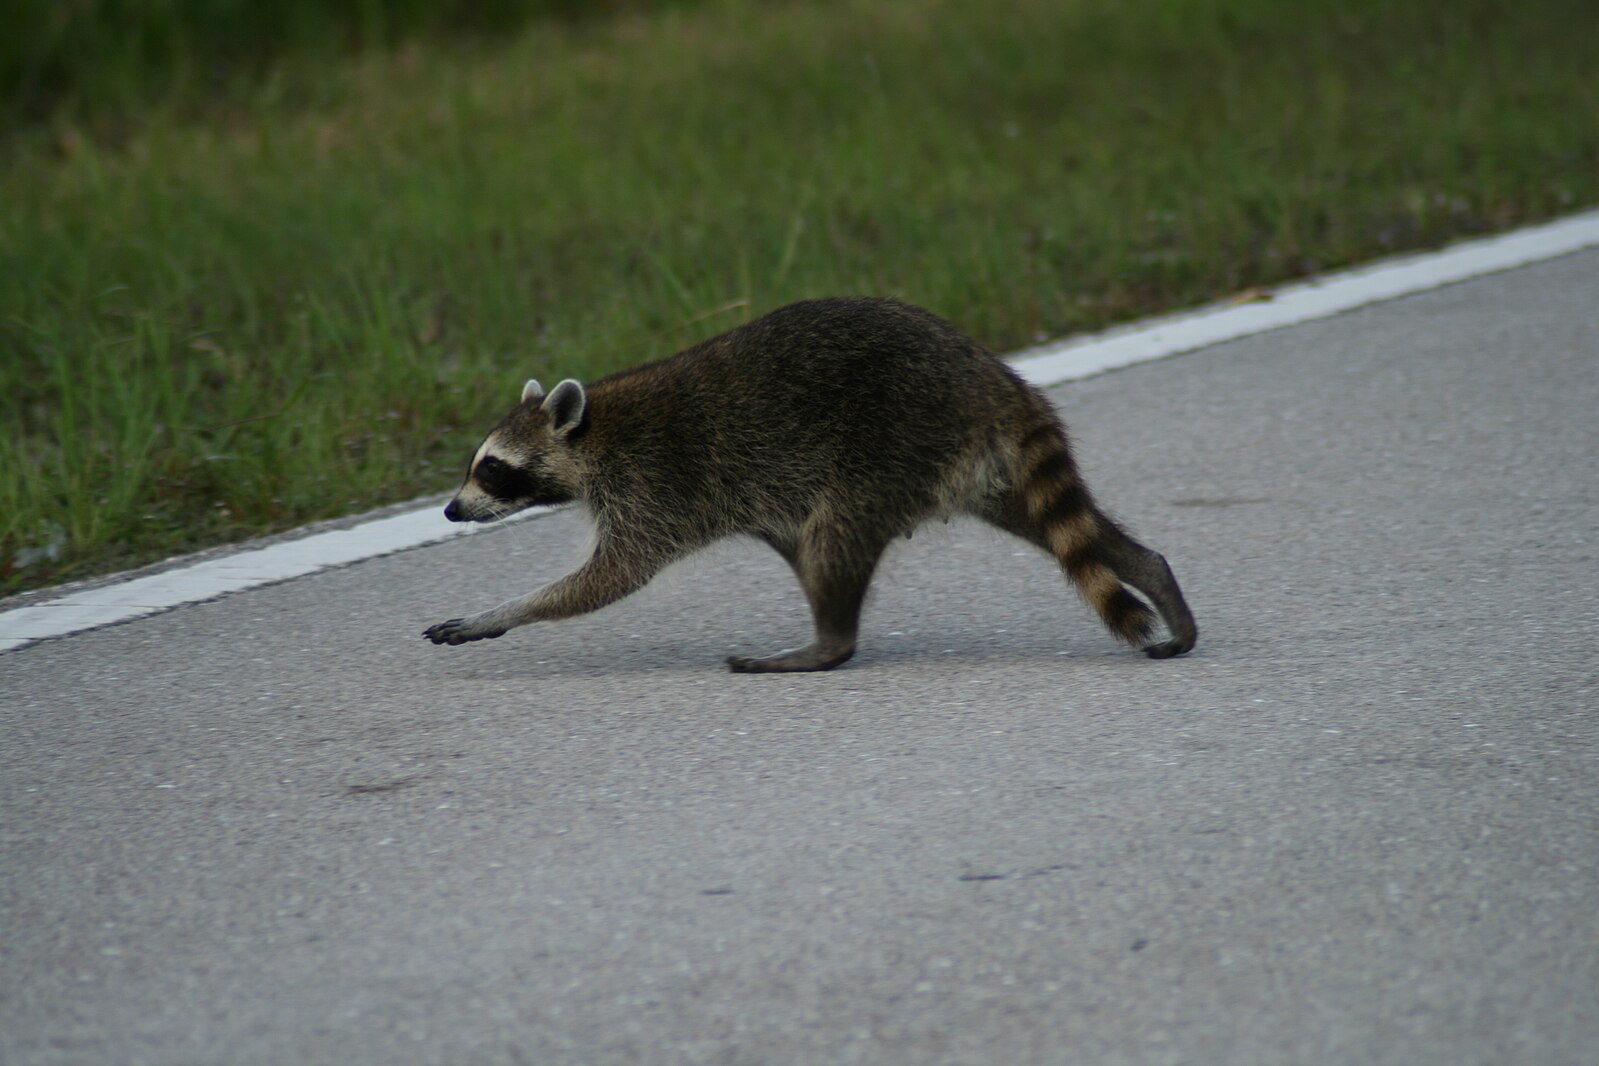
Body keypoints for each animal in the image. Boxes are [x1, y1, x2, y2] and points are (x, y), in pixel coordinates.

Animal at [418, 295, 1196, 671]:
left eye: (493, 469)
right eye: (473, 464)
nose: (452, 511)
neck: (594, 432)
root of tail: (991, 377)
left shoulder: (652, 485)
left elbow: (610, 578)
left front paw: (504, 612)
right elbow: (788, 542)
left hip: (891, 441)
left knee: (837, 532)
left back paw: (829, 645)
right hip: (974, 465)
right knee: (1059, 525)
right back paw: (1152, 573)